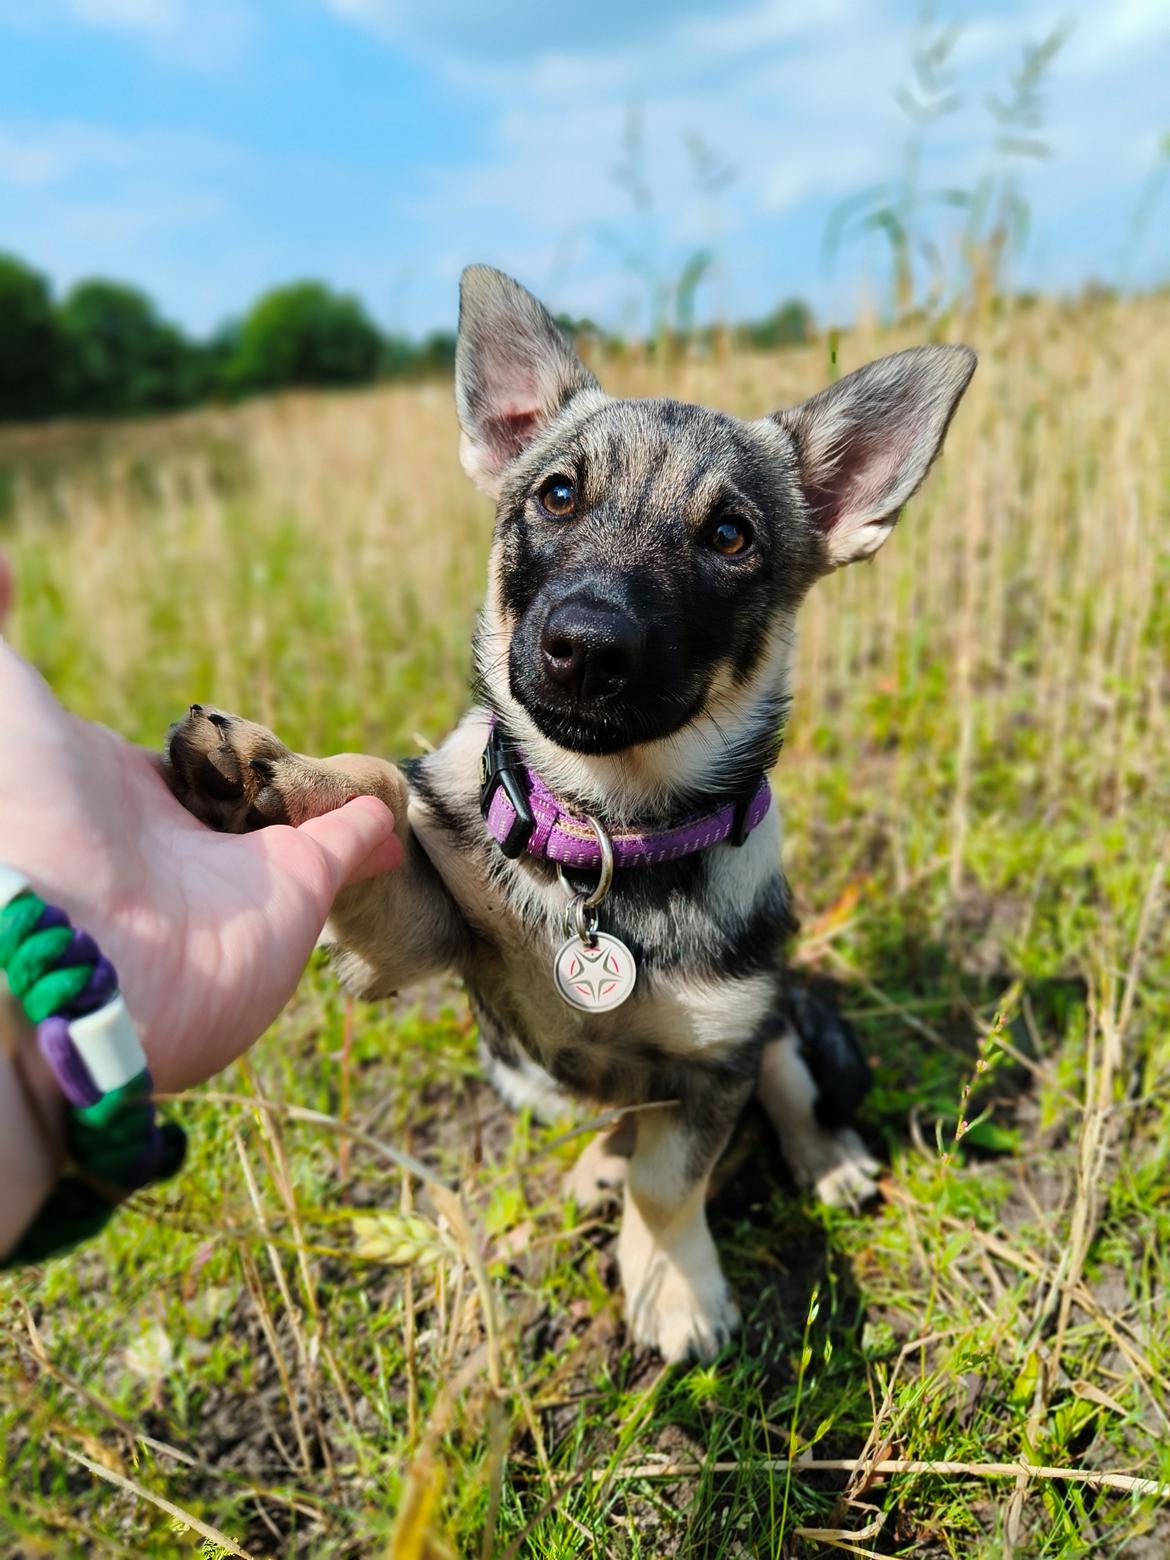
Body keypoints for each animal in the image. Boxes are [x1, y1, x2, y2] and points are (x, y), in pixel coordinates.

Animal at [163, 268, 973, 1366]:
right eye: (556, 494)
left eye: (731, 537)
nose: (585, 646)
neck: (603, 834)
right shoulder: (421, 937)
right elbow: (382, 787)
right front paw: (272, 775)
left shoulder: (718, 1051)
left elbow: (673, 1179)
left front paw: (673, 1284)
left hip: (782, 1011)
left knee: (782, 1086)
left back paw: (825, 1158)